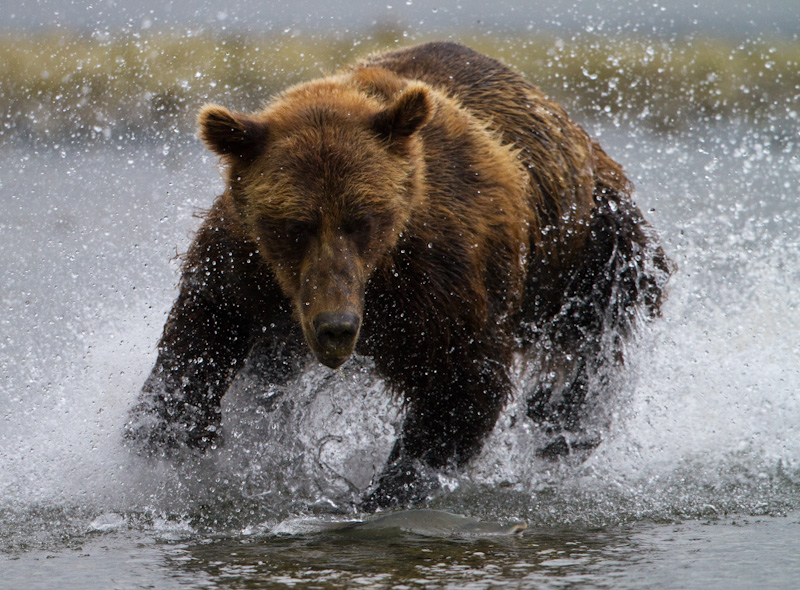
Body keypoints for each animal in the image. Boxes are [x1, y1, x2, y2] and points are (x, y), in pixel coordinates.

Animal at [126, 41, 676, 512]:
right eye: (296, 226)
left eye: (361, 220)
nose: (337, 327)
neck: (380, 275)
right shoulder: (249, 263)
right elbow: (203, 333)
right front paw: (162, 436)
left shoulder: (445, 275)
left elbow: (460, 385)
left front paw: (387, 490)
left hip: (593, 257)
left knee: (585, 360)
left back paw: (561, 435)